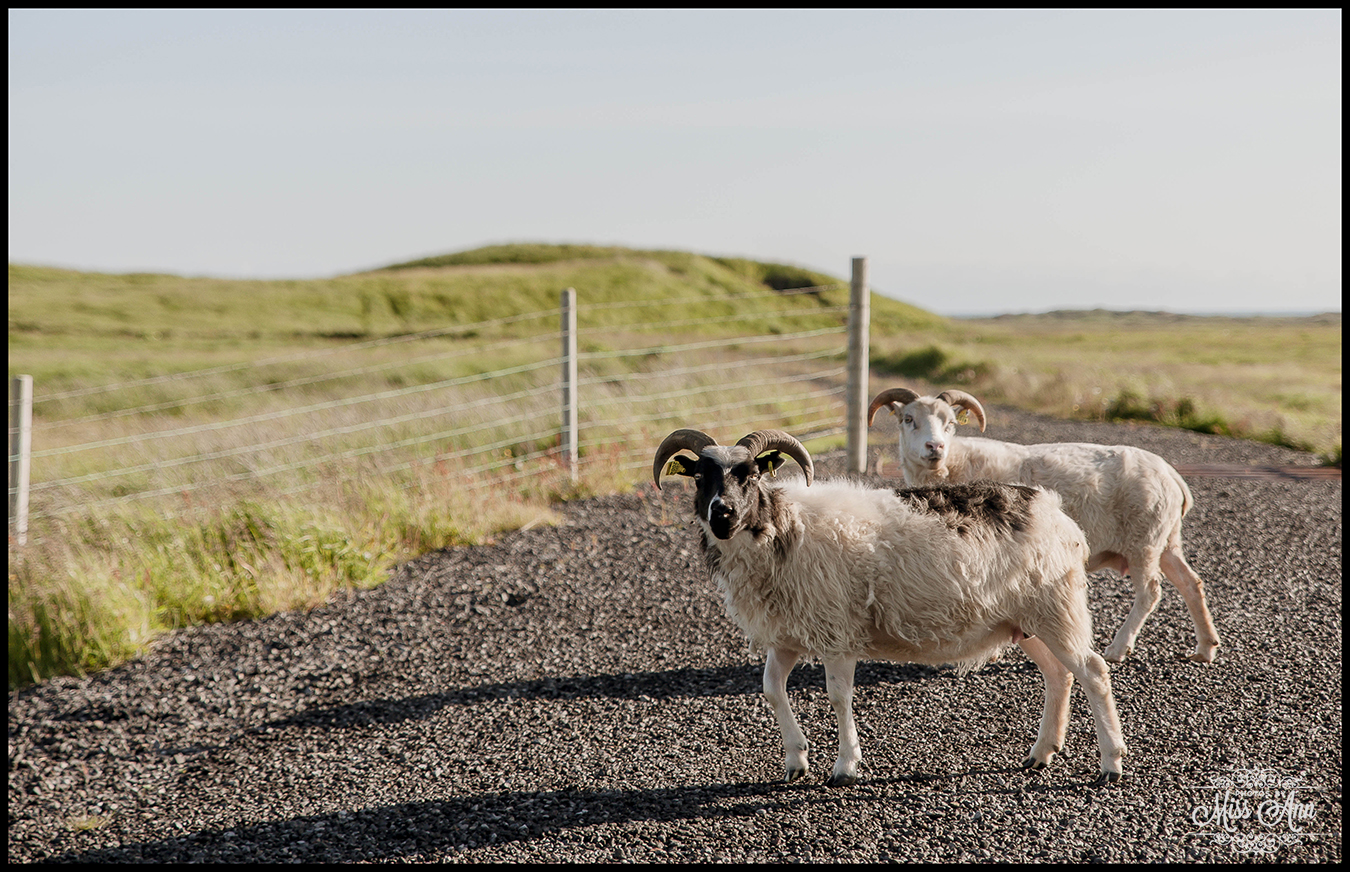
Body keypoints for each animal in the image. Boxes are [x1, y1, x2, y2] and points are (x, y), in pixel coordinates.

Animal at [653, 427, 1127, 787]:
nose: (723, 514)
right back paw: (1042, 753)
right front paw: (796, 759)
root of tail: (1056, 512)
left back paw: (1111, 763)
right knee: (1058, 675)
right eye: (699, 477)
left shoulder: (837, 633)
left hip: (1056, 607)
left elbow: (838, 696)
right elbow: (771, 689)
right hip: (1025, 620)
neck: (783, 529)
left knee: (1093, 671)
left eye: (750, 475)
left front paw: (845, 767)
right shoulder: (787, 634)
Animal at [867, 386, 1221, 664]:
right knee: (1192, 583)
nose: (935, 447)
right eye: (908, 419)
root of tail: (1171, 473)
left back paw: (1118, 648)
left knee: (1150, 592)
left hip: (1143, 542)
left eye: (951, 423)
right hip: (1166, 539)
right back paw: (1205, 648)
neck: (953, 464)